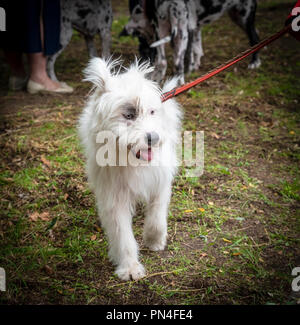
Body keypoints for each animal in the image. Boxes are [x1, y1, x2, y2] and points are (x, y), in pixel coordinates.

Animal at [78, 57, 182, 278]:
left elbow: (157, 215)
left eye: (152, 112)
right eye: (128, 115)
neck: (134, 162)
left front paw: (154, 239)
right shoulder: (114, 196)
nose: (154, 138)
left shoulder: (160, 182)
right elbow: (122, 234)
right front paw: (130, 267)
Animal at [123, 0, 262, 83]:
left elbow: (194, 50)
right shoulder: (191, 28)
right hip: (241, 17)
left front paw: (192, 67)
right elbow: (195, 50)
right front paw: (192, 68)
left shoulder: (191, 28)